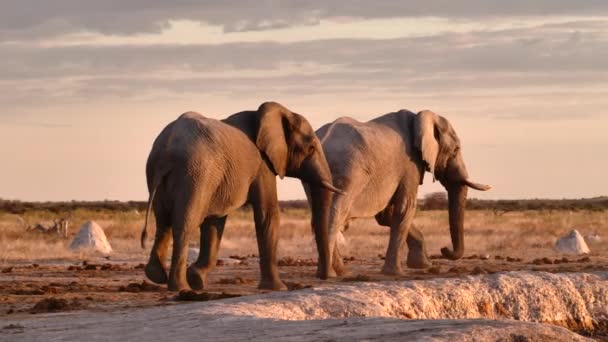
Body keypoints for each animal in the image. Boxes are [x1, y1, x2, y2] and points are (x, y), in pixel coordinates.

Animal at [140, 101, 344, 292]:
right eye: (311, 148)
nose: (326, 277)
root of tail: (166, 149)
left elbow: (215, 221)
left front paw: (197, 278)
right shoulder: (263, 164)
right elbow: (268, 214)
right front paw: (278, 288)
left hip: (164, 174)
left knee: (163, 222)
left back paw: (156, 276)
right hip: (195, 174)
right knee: (184, 224)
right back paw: (180, 288)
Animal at [304, 109, 490, 278]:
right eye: (456, 150)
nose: (444, 249)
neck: (419, 117)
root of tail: (323, 139)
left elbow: (386, 214)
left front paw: (423, 265)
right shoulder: (410, 164)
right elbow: (405, 208)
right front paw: (396, 273)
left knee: (320, 218)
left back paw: (341, 272)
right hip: (348, 170)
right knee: (336, 215)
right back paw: (329, 274)